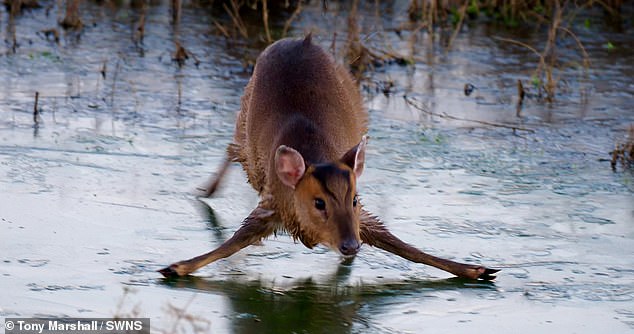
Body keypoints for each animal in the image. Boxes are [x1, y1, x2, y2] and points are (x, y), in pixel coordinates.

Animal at [158, 35, 498, 280]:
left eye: (355, 200)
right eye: (319, 202)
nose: (350, 245)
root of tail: (300, 40)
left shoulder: (358, 217)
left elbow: (401, 245)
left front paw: (477, 269)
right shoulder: (271, 204)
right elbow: (231, 244)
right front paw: (174, 267)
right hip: (247, 123)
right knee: (233, 148)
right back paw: (207, 189)